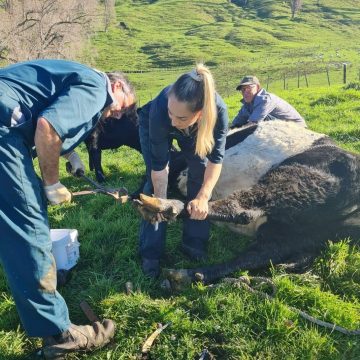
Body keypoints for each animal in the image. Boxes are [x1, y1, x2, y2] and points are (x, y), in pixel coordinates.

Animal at [136, 121, 360, 290]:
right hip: (301, 231)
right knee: (257, 254)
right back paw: (188, 275)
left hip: (295, 178)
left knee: (241, 209)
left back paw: (163, 206)